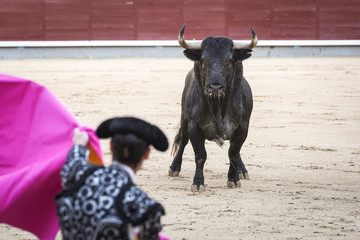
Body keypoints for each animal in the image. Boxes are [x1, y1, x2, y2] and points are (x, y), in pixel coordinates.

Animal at [169, 25, 258, 192]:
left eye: (230, 60)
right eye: (203, 59)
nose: (215, 87)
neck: (219, 106)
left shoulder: (243, 127)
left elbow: (234, 153)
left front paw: (233, 179)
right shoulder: (194, 126)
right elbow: (200, 155)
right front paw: (198, 182)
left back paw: (242, 170)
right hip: (184, 117)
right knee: (183, 139)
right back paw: (174, 167)